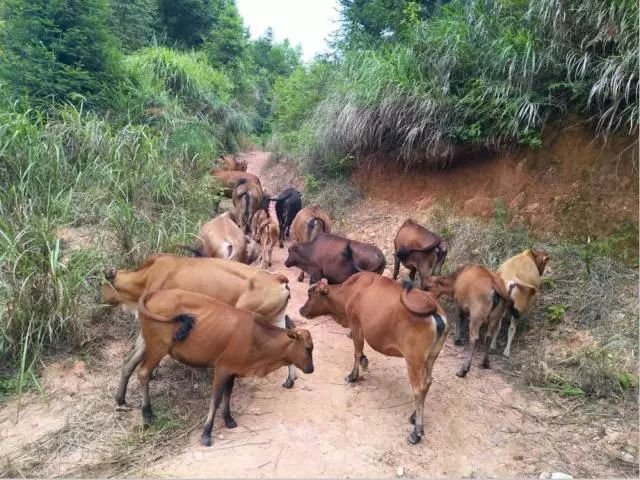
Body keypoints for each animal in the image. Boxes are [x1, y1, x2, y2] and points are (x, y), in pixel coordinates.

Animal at [137, 284, 312, 446]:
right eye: (308, 348)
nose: (311, 369)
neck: (256, 337)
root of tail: (154, 293)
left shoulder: (232, 371)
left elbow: (228, 395)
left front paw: (228, 419)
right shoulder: (222, 368)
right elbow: (216, 399)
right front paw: (207, 432)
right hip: (158, 348)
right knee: (143, 373)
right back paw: (147, 415)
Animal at [302, 272, 448, 444]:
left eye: (310, 293)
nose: (301, 310)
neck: (350, 290)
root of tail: (435, 309)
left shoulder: (356, 325)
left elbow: (357, 351)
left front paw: (353, 376)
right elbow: (359, 352)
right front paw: (364, 362)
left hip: (414, 360)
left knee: (418, 389)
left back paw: (416, 431)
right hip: (431, 358)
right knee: (428, 383)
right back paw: (414, 416)